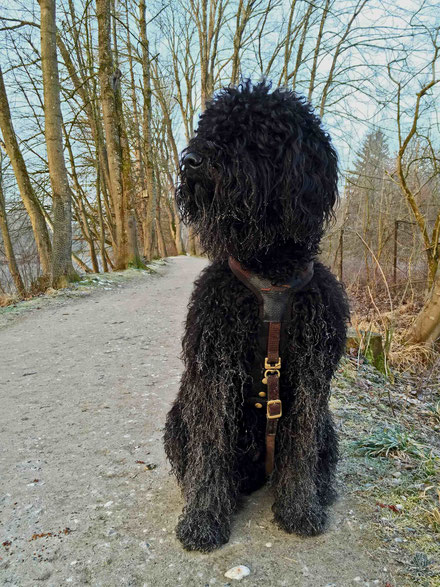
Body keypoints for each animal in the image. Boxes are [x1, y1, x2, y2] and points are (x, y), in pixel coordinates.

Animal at [163, 80, 348, 552]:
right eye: (208, 128)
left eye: (253, 136)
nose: (190, 161)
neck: (269, 273)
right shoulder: (213, 373)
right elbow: (210, 449)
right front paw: (203, 520)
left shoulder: (312, 378)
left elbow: (300, 446)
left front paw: (299, 509)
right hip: (178, 418)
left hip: (328, 428)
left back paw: (316, 490)